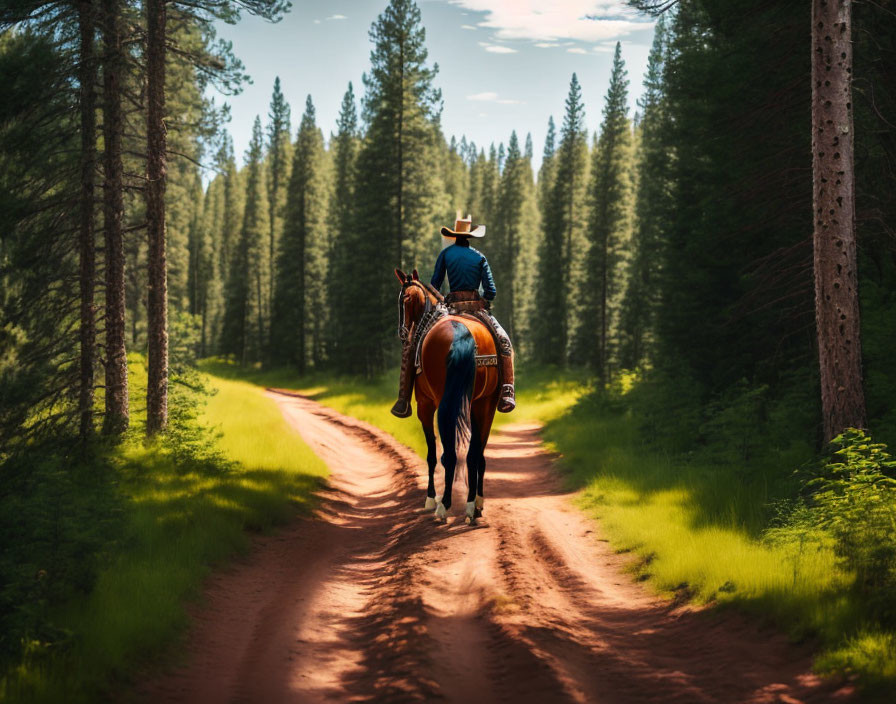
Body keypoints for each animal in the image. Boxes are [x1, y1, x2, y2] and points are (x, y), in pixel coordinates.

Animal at [394, 270, 500, 524]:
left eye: (404, 300)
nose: (402, 333)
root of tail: (460, 335)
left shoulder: (424, 405)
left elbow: (432, 453)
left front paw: (431, 499)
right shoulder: (476, 404)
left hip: (445, 404)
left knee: (449, 453)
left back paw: (444, 505)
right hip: (486, 403)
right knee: (476, 453)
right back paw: (474, 505)